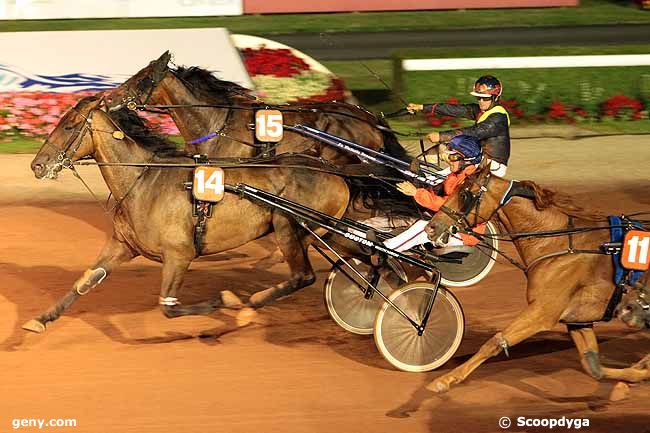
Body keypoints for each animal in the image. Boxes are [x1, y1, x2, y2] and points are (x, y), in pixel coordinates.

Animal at [25, 96, 352, 332]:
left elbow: (169, 307)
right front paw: (39, 320)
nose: (37, 165)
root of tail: (333, 172)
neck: (142, 180)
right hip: (321, 233)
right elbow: (84, 282)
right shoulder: (123, 245)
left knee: (303, 276)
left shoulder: (179, 254)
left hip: (289, 226)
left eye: (69, 126)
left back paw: (250, 306)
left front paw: (226, 300)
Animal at [422, 165, 644, 392]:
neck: (560, 243)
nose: (431, 227)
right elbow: (592, 365)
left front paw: (444, 380)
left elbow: (495, 341)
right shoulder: (578, 320)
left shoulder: (541, 313)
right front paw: (638, 373)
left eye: (464, 194)